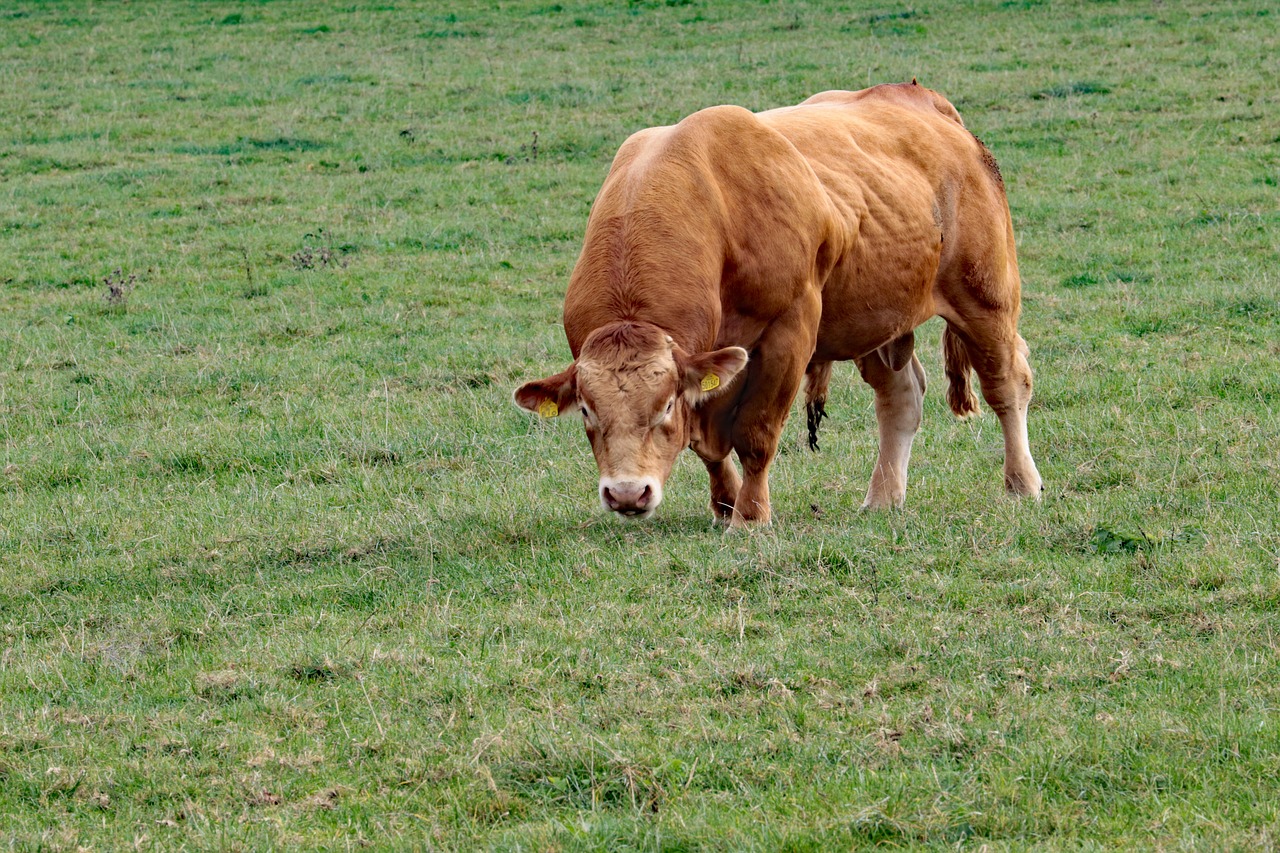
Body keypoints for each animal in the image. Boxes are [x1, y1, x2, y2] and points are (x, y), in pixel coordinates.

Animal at [514, 79, 1044, 525]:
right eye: (586, 410)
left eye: (664, 406)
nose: (627, 494)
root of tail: (926, 103)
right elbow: (706, 446)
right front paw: (725, 504)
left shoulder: (789, 333)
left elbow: (756, 432)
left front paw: (750, 517)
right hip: (874, 318)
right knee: (901, 398)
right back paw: (883, 496)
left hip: (985, 298)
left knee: (1007, 385)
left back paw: (1022, 482)